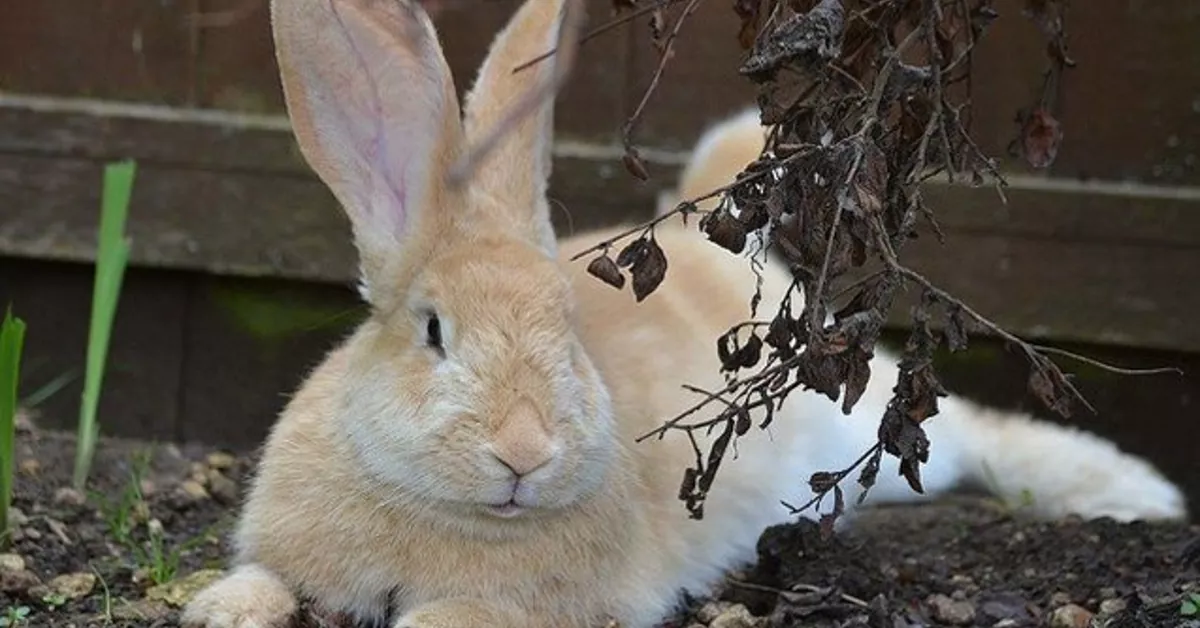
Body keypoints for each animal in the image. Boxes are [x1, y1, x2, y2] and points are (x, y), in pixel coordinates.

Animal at [182, 1, 1185, 628]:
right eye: (433, 331)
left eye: (569, 332)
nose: (524, 451)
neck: (446, 511)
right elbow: (261, 583)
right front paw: (217, 607)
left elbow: (463, 616)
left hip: (852, 432)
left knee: (971, 432)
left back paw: (1131, 493)